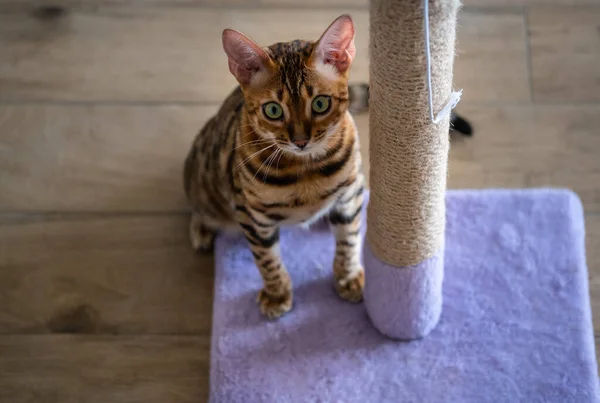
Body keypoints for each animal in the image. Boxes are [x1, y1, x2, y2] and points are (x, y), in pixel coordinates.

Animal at [183, 15, 364, 318]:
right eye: (273, 110)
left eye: (320, 103)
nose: (300, 140)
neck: (307, 172)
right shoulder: (250, 214)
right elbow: (267, 260)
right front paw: (277, 294)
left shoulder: (353, 190)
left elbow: (349, 240)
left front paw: (348, 277)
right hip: (201, 177)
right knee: (198, 206)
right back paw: (202, 230)